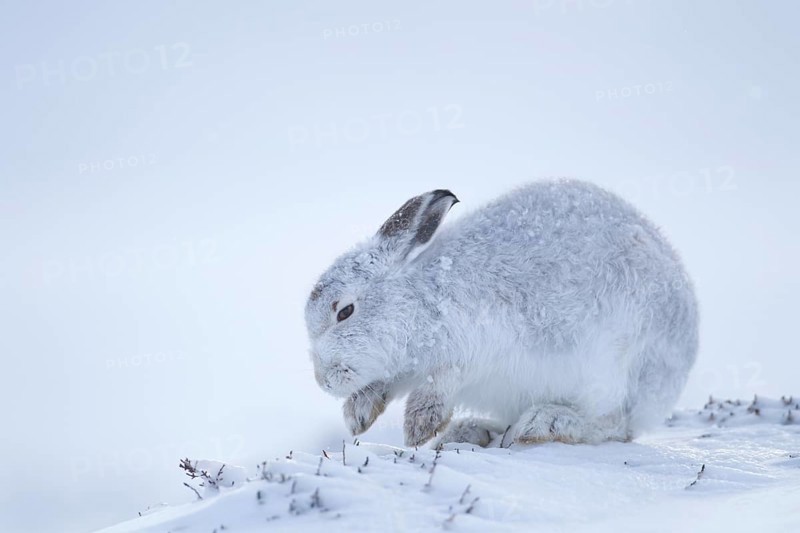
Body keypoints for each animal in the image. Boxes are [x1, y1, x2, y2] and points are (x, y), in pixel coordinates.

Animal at [305, 180, 698, 447]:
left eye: (345, 311)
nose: (323, 381)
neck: (420, 299)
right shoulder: (402, 368)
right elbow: (385, 383)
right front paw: (358, 415)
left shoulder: (479, 345)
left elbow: (443, 379)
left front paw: (420, 424)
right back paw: (472, 430)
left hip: (613, 369)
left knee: (615, 426)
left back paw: (545, 423)